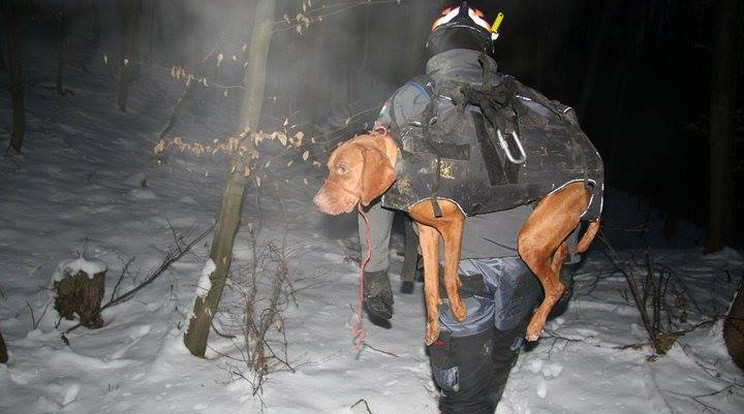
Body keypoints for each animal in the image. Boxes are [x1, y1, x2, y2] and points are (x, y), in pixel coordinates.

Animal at [312, 128, 600, 344]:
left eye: (343, 169)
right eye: (331, 167)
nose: (316, 203)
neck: (406, 166)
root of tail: (590, 185)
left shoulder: (453, 224)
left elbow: (449, 277)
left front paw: (459, 310)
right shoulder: (427, 233)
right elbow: (429, 285)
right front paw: (433, 328)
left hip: (529, 240)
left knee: (556, 286)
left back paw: (536, 325)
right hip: (544, 224)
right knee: (563, 253)